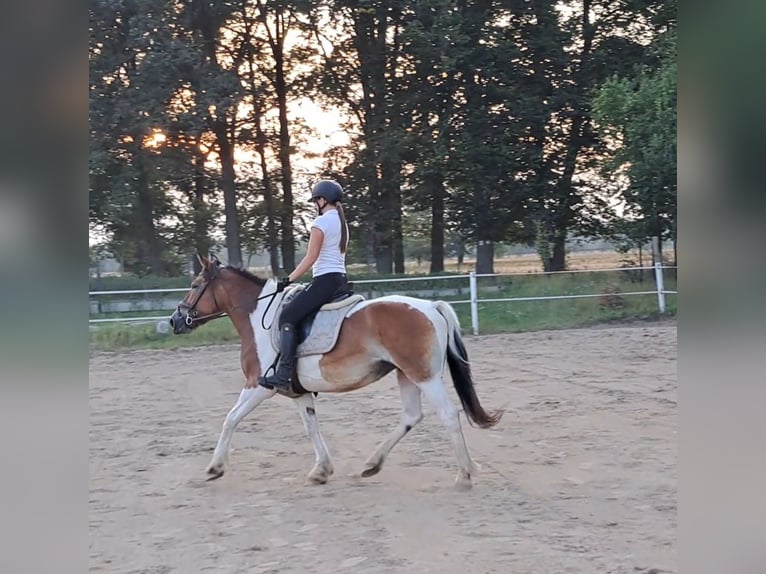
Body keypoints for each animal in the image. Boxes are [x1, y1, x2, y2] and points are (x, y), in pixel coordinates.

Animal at [168, 255, 504, 490]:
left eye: (195, 285)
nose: (175, 320)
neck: (258, 316)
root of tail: (431, 306)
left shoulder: (258, 386)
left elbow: (230, 419)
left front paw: (215, 467)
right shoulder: (297, 392)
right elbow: (311, 427)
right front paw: (321, 471)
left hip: (425, 376)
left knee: (448, 414)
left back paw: (464, 474)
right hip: (406, 374)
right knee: (411, 416)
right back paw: (372, 464)